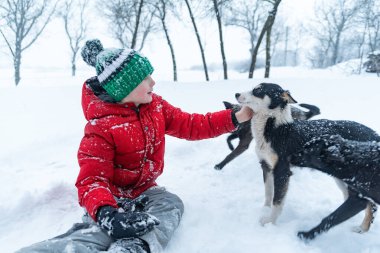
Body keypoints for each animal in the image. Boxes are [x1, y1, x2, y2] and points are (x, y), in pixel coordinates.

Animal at [235, 83, 380, 239]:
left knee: (370, 205)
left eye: (258, 90)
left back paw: (363, 228)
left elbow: (277, 201)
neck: (275, 129)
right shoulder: (266, 166)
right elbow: (268, 193)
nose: (236, 94)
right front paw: (265, 210)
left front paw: (270, 222)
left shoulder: (282, 171)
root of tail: (373, 134)